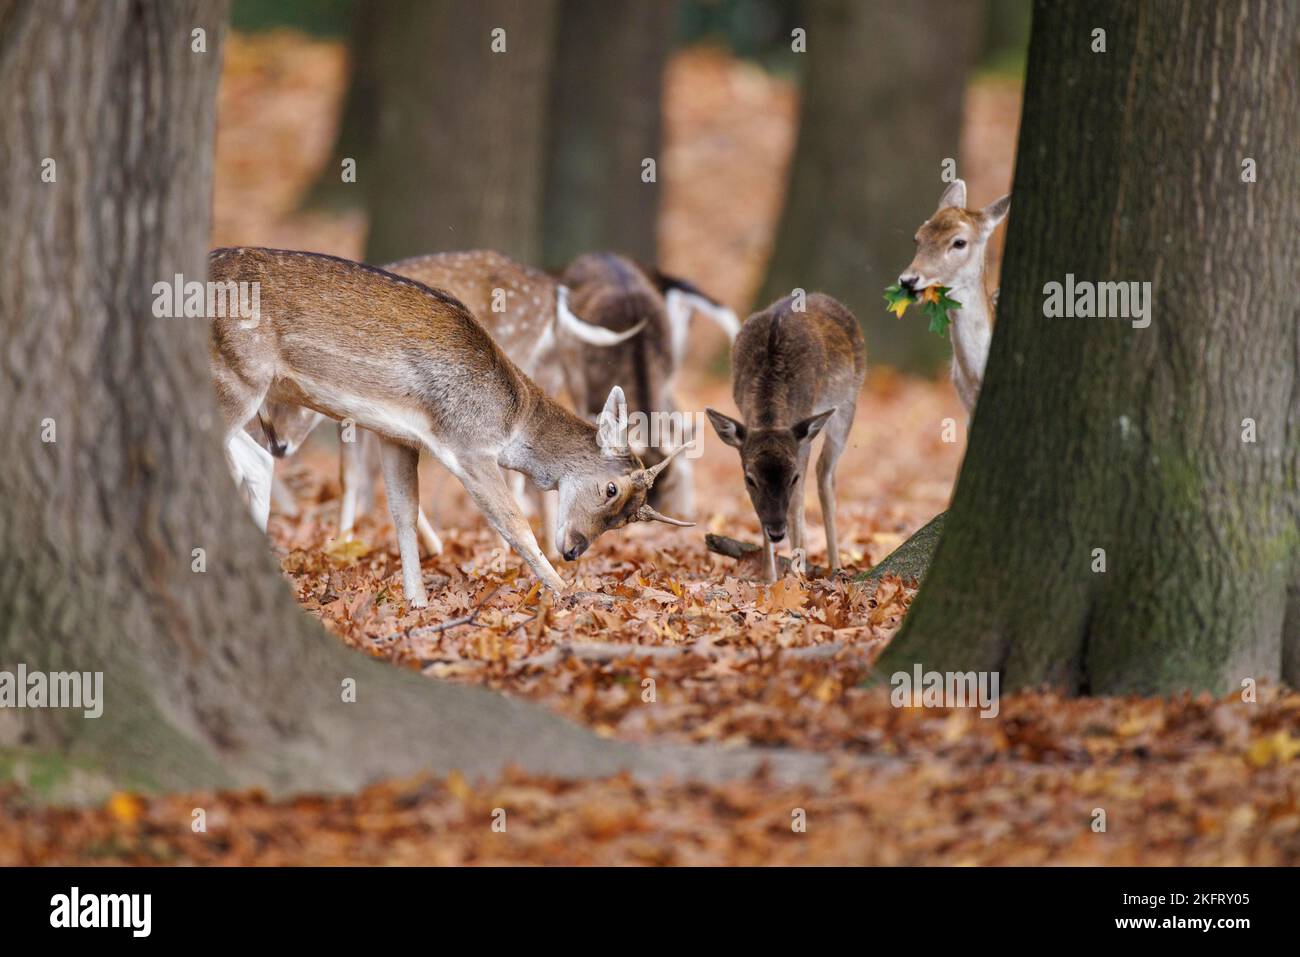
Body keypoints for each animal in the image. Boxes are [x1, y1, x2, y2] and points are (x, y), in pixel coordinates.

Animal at [210, 247, 691, 605]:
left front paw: (416, 602)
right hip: (236, 378)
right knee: (249, 459)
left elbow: (402, 511)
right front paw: (566, 592)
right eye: (611, 489)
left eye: (626, 520)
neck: (512, 416)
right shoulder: (469, 444)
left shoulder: (395, 434)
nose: (574, 550)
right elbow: (514, 523)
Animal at [707, 293, 868, 582]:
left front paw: (797, 572)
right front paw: (769, 576)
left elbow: (796, 500)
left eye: (791, 477)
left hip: (848, 405)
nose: (776, 531)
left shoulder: (803, 432)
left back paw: (835, 565)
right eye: (750, 479)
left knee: (825, 473)